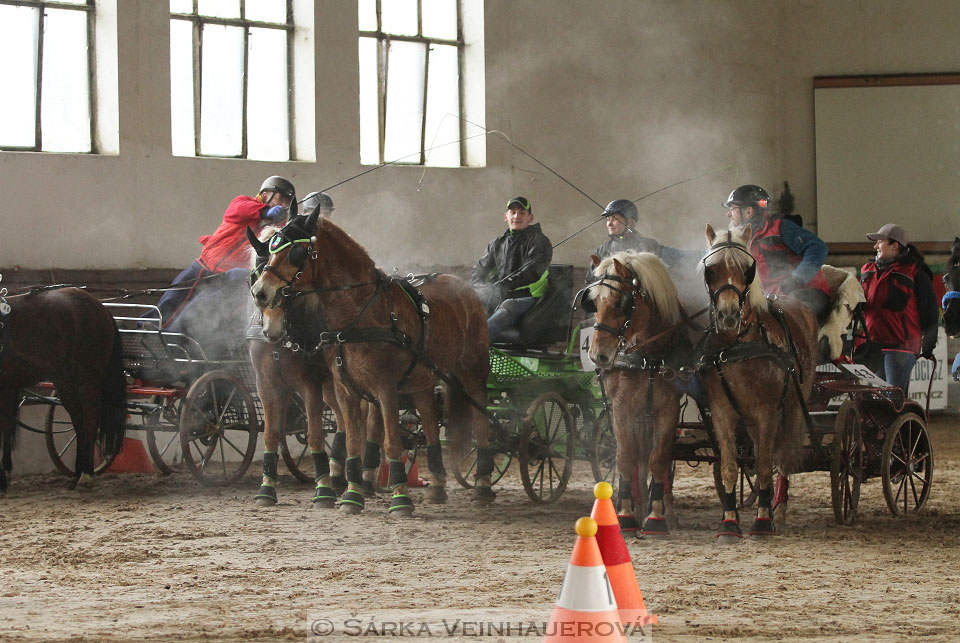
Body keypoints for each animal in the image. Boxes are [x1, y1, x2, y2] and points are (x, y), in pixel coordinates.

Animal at [0, 284, 126, 490]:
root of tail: (100, 307)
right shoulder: (7, 386)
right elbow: (6, 427)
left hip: (88, 380)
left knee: (90, 422)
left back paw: (86, 475)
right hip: (66, 383)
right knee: (79, 423)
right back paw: (78, 473)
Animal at [248, 209, 492, 516]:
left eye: (297, 252)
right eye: (264, 258)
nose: (261, 292)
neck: (358, 314)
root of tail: (463, 286)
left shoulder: (384, 389)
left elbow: (391, 442)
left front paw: (400, 499)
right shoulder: (343, 390)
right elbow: (353, 440)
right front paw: (352, 496)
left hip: (473, 373)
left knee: (481, 421)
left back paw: (482, 487)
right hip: (421, 380)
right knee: (428, 420)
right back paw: (436, 487)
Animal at [580, 252, 688, 540]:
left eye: (621, 303)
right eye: (593, 301)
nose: (598, 355)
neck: (648, 357)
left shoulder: (669, 409)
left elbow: (659, 459)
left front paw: (657, 516)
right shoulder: (621, 407)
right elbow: (626, 457)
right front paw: (627, 514)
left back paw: (665, 511)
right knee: (638, 459)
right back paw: (637, 507)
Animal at [696, 226, 816, 544]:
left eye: (747, 270)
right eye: (711, 270)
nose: (727, 316)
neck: (739, 346)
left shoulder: (768, 410)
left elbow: (764, 465)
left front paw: (762, 521)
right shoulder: (722, 410)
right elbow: (729, 465)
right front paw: (728, 522)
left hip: (794, 406)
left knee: (783, 457)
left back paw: (778, 509)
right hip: (750, 419)